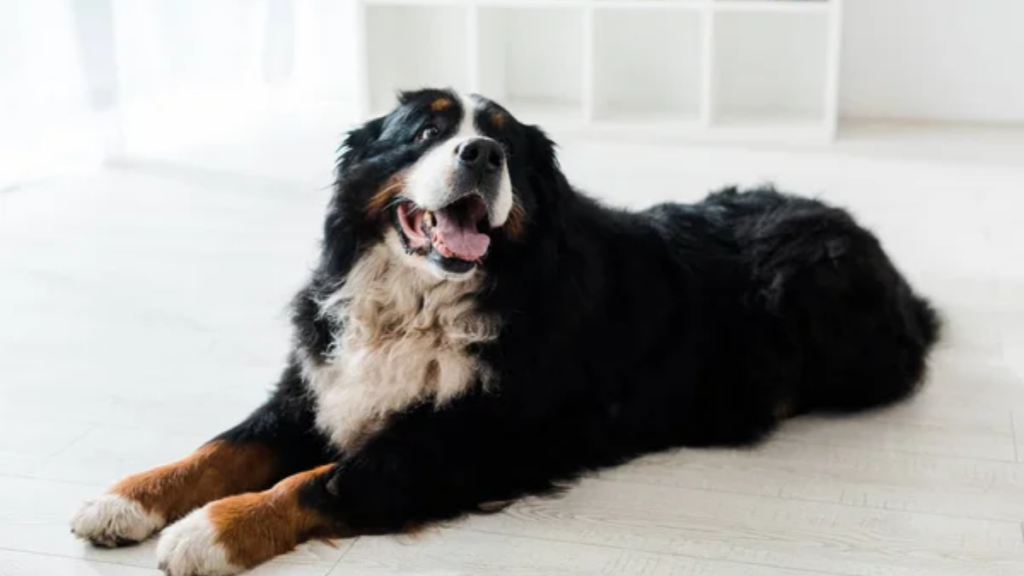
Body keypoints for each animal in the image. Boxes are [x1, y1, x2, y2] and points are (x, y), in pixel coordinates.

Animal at [72, 87, 942, 569]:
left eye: (508, 145)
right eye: (424, 132)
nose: (482, 153)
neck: (421, 299)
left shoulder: (466, 441)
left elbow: (319, 479)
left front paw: (209, 533)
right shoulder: (318, 385)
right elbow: (219, 449)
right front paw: (125, 499)